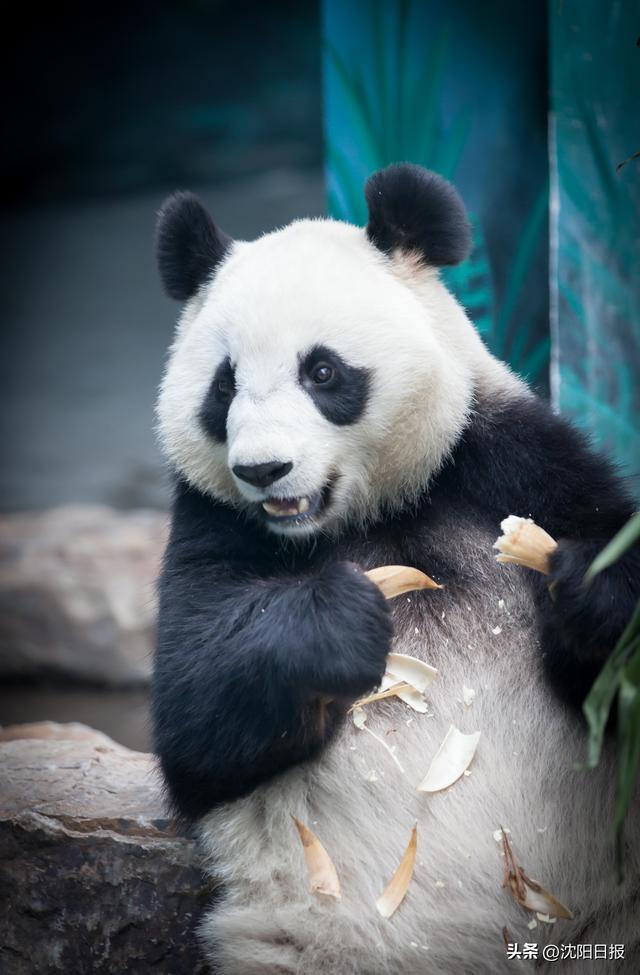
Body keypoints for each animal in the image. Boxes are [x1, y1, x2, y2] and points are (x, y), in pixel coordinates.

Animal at [151, 164, 640, 972]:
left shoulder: (507, 456)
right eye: (223, 385)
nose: (263, 470)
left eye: (321, 370)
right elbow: (195, 718)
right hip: (297, 941)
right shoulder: (212, 522)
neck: (370, 511)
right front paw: (341, 623)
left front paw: (582, 584)